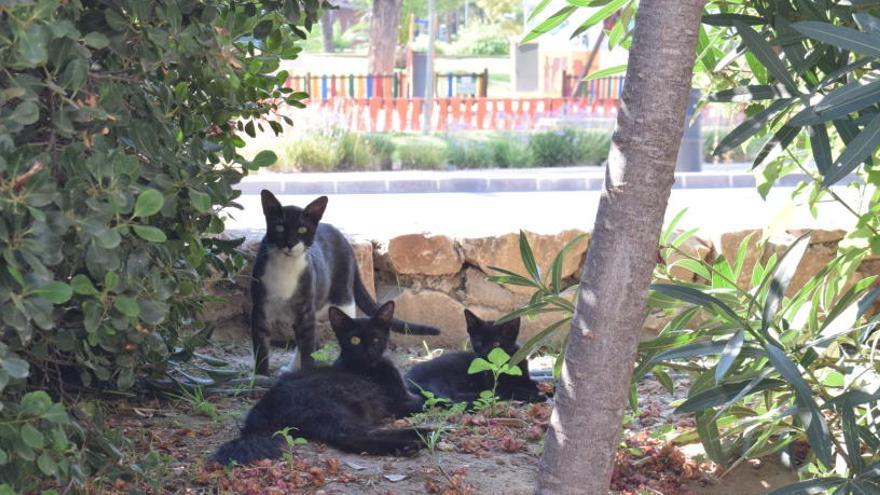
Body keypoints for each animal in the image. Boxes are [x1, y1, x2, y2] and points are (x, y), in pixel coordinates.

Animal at [215, 300, 432, 466]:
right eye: (354, 340)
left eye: (376, 339)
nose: (368, 351)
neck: (367, 366)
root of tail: (260, 410)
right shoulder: (402, 401)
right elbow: (430, 400)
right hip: (336, 406)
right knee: (350, 437)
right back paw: (416, 438)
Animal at [251, 191, 440, 376]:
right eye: (279, 227)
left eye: (302, 229)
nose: (290, 243)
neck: (285, 267)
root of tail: (344, 239)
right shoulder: (260, 309)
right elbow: (261, 347)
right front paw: (260, 375)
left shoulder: (305, 310)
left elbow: (307, 348)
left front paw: (304, 372)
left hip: (342, 298)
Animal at [404, 312, 544, 404]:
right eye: (479, 343)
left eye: (496, 344)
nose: (485, 355)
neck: (506, 364)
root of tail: (406, 378)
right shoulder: (494, 386)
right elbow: (511, 389)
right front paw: (533, 395)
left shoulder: (524, 379)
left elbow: (537, 383)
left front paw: (544, 389)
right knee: (452, 399)